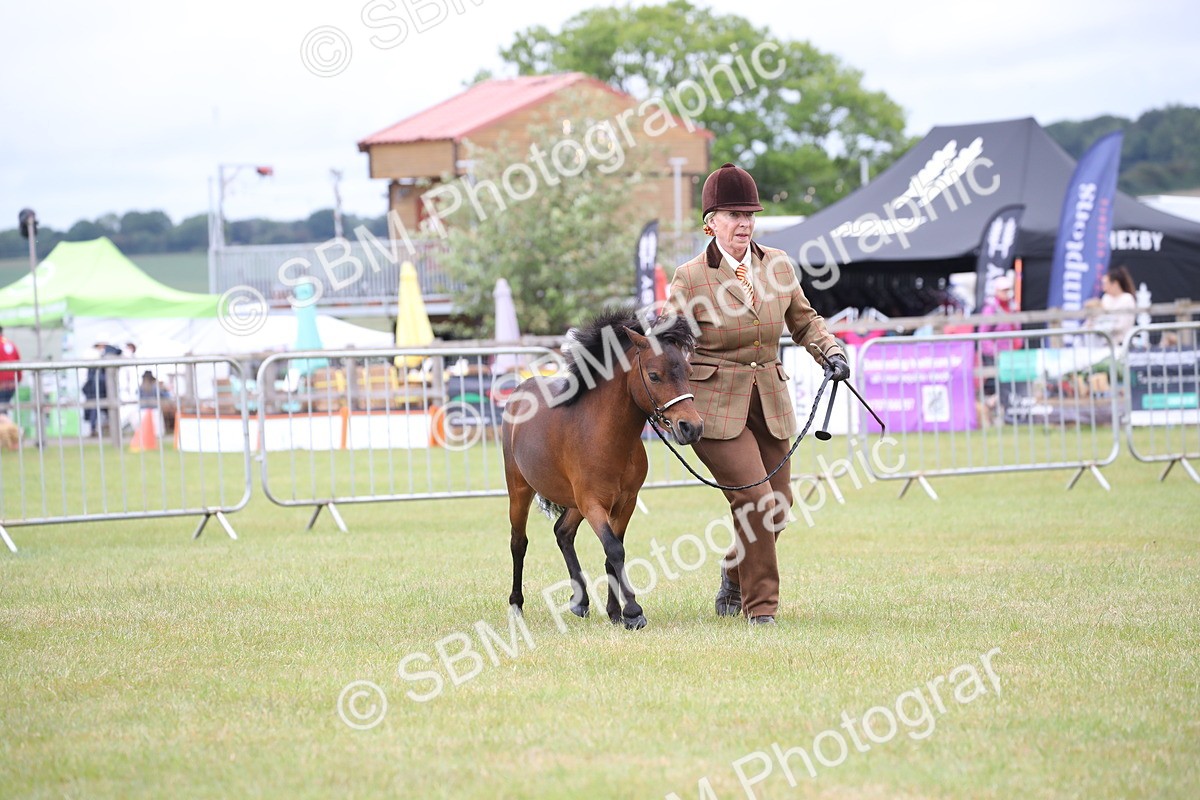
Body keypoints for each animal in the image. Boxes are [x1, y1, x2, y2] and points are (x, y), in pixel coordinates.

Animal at [501, 309, 704, 629]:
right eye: (654, 375)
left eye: (688, 372)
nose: (691, 427)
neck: (606, 436)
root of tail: (520, 390)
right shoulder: (593, 503)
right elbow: (614, 548)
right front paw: (633, 612)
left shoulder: (624, 502)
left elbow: (613, 553)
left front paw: (615, 612)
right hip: (520, 490)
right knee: (518, 542)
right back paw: (517, 606)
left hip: (573, 502)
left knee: (563, 532)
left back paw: (580, 601)